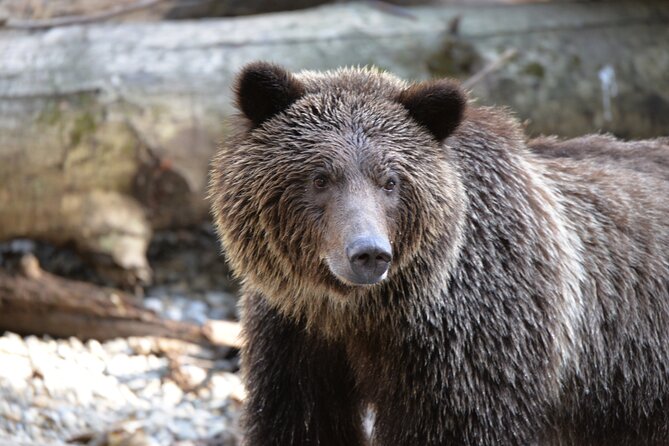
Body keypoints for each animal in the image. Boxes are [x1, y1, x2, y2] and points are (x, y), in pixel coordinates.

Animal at [209, 62, 669, 445]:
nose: (369, 253)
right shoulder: (293, 337)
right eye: (320, 177)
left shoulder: (468, 344)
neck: (360, 312)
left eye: (390, 181)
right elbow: (301, 422)